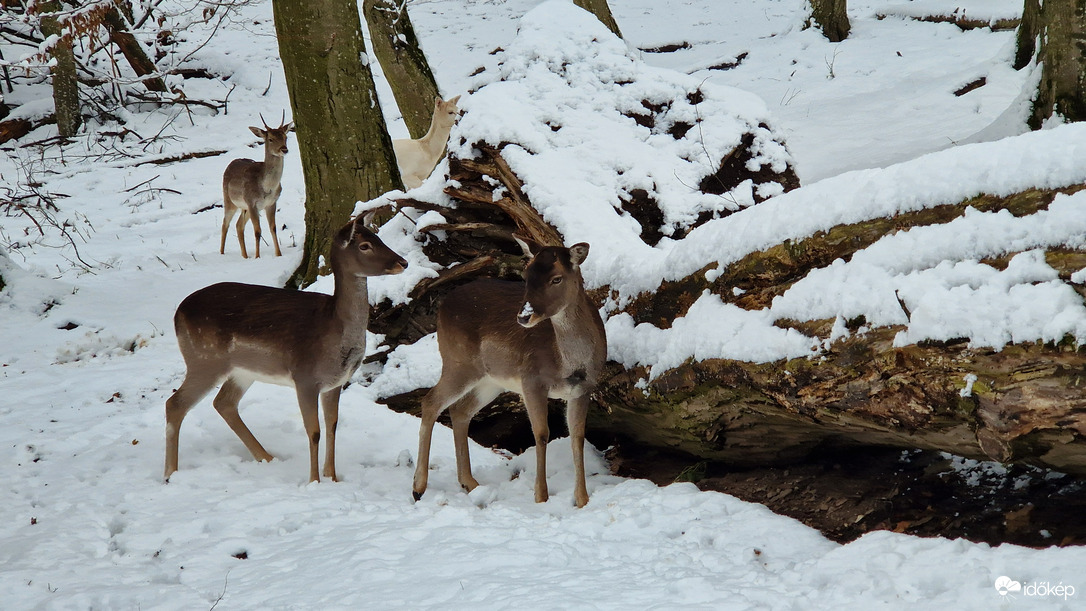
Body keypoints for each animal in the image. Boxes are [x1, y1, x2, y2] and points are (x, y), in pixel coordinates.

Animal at [165, 214, 408, 484]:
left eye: (379, 237)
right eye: (365, 246)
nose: (403, 262)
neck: (334, 330)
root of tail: (177, 313)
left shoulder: (335, 382)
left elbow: (332, 426)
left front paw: (333, 478)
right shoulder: (305, 378)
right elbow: (314, 431)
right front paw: (314, 481)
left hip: (241, 371)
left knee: (223, 403)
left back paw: (267, 458)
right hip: (204, 360)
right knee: (175, 404)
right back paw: (170, 474)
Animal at [220, 112, 293, 258]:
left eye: (285, 137)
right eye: (270, 139)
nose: (284, 149)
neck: (267, 187)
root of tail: (230, 164)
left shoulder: (271, 203)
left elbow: (273, 228)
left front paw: (278, 254)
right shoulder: (251, 201)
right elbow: (257, 231)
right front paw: (257, 257)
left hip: (245, 208)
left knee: (238, 225)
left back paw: (245, 255)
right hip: (229, 200)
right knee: (225, 224)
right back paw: (222, 253)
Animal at [410, 236, 608, 510]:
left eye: (557, 278)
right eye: (526, 275)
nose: (524, 316)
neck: (568, 363)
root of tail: (442, 306)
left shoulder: (583, 388)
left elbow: (577, 437)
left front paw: (582, 500)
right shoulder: (531, 379)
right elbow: (542, 433)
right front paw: (541, 497)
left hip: (490, 380)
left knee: (460, 410)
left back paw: (470, 482)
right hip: (458, 361)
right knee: (430, 401)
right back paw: (418, 488)